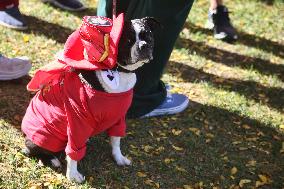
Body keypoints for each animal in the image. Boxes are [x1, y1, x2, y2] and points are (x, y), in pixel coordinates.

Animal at [21, 16, 160, 183]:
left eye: (149, 36)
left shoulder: (119, 117)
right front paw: (73, 175)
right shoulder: (77, 121)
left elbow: (116, 140)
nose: (144, 45)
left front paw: (119, 158)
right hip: (45, 136)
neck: (118, 71)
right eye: (128, 40)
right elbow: (73, 152)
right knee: (34, 151)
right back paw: (53, 160)